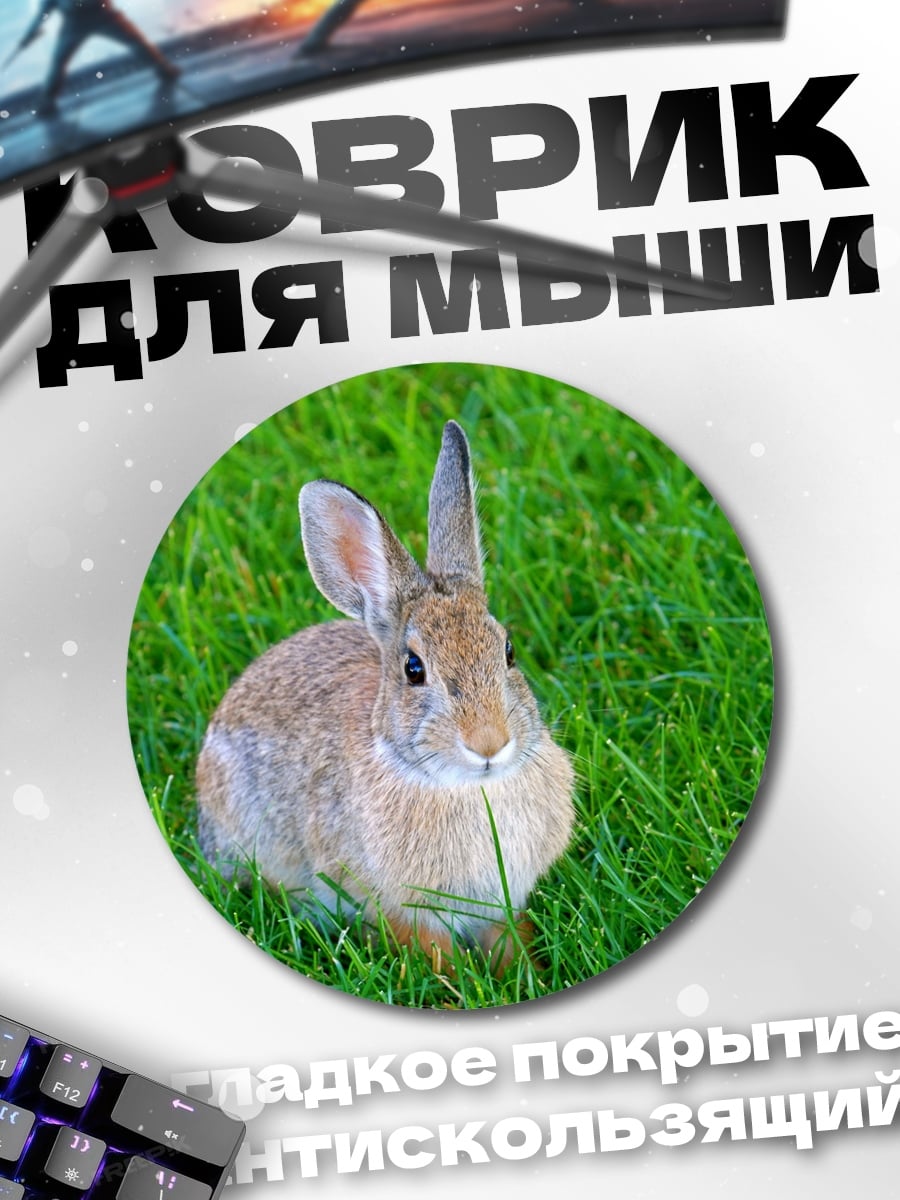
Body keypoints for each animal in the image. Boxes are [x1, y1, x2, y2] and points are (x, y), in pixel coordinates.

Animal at [195, 419, 575, 969]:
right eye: (413, 669)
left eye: (508, 651)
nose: (488, 743)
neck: (464, 787)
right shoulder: (395, 905)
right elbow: (433, 952)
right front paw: (460, 984)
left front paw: (529, 971)